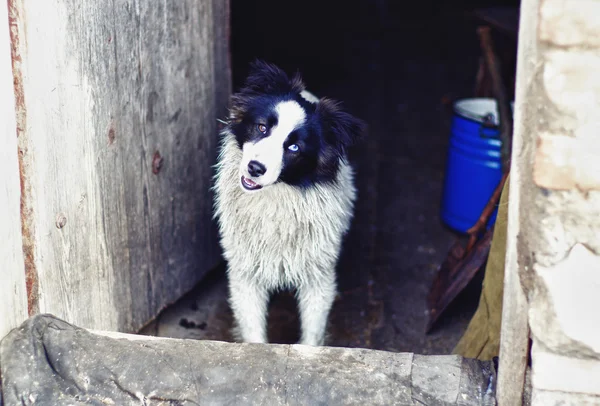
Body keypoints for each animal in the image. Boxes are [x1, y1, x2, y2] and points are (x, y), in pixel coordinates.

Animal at [216, 60, 366, 346]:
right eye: (262, 128)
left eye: (294, 147)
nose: (255, 168)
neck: (277, 196)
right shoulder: (245, 274)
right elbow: (254, 334)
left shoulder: (318, 276)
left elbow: (312, 337)